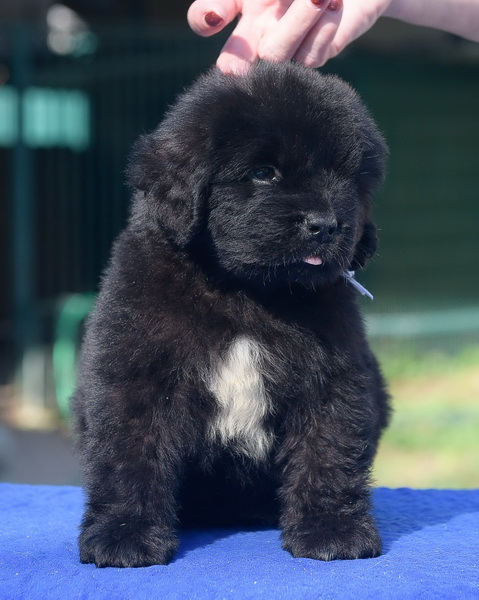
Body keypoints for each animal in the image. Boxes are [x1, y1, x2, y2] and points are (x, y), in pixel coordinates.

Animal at [73, 61, 390, 568]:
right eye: (262, 173)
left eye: (348, 179)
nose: (325, 225)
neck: (246, 295)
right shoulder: (134, 374)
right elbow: (129, 455)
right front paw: (124, 535)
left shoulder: (333, 379)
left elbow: (328, 452)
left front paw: (332, 530)